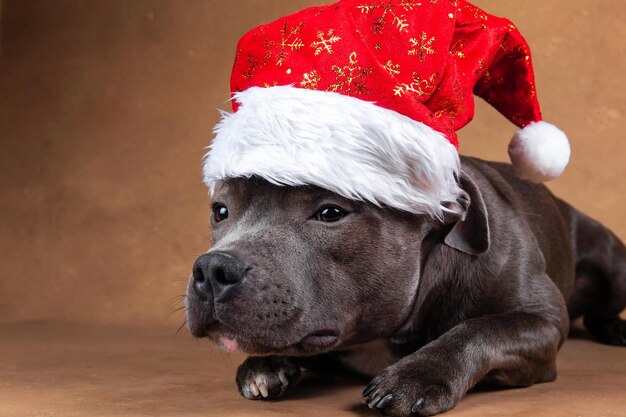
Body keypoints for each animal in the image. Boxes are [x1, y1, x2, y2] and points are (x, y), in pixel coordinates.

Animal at [185, 157, 624, 416]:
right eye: (220, 211)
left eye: (330, 212)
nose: (213, 268)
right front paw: (264, 364)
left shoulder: (543, 322)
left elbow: (482, 327)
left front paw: (419, 374)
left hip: (613, 260)